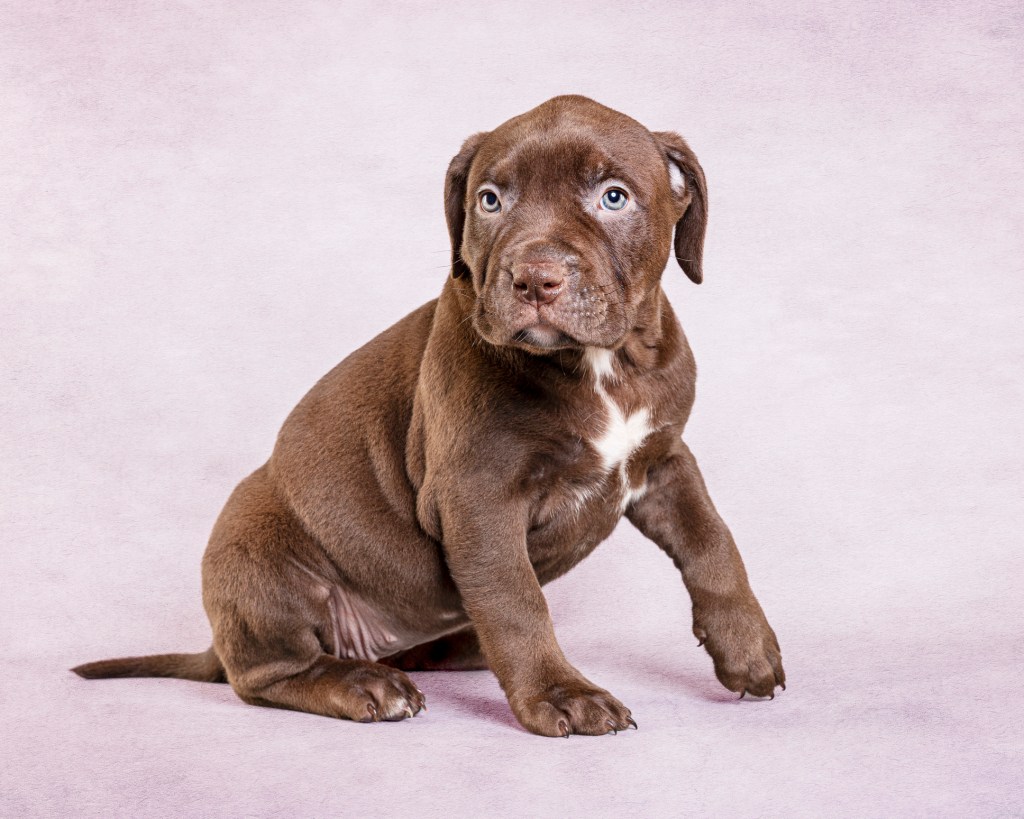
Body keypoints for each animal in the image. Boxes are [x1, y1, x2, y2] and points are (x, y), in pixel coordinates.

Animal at [75, 96, 782, 737]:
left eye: (614, 197)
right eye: (490, 201)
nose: (535, 278)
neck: (603, 365)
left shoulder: (662, 459)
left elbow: (714, 542)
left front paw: (748, 648)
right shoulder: (477, 495)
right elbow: (516, 601)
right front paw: (561, 695)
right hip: (258, 554)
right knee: (266, 674)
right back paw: (364, 685)